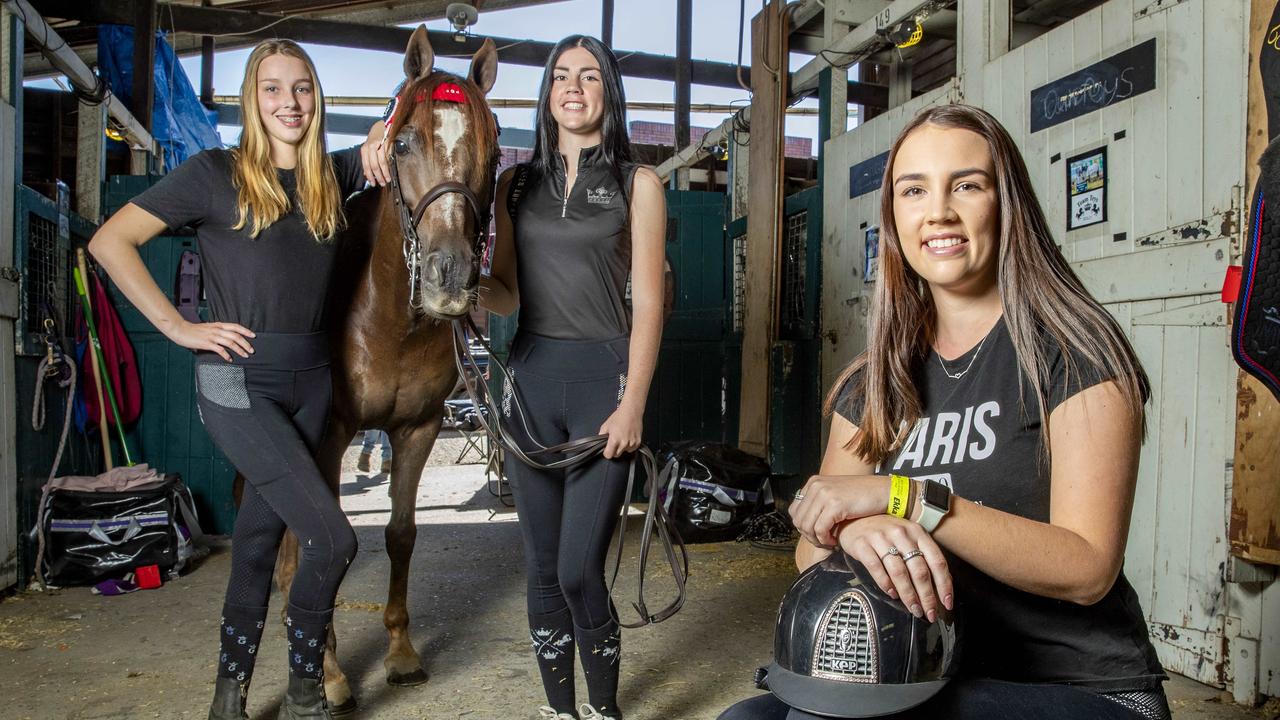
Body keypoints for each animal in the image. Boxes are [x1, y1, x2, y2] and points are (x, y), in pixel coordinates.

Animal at [275, 29, 499, 712]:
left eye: (494, 151)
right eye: (402, 143)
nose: (450, 275)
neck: (388, 320)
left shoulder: (418, 429)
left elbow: (400, 534)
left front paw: (400, 652)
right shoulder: (327, 437)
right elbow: (325, 545)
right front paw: (328, 672)